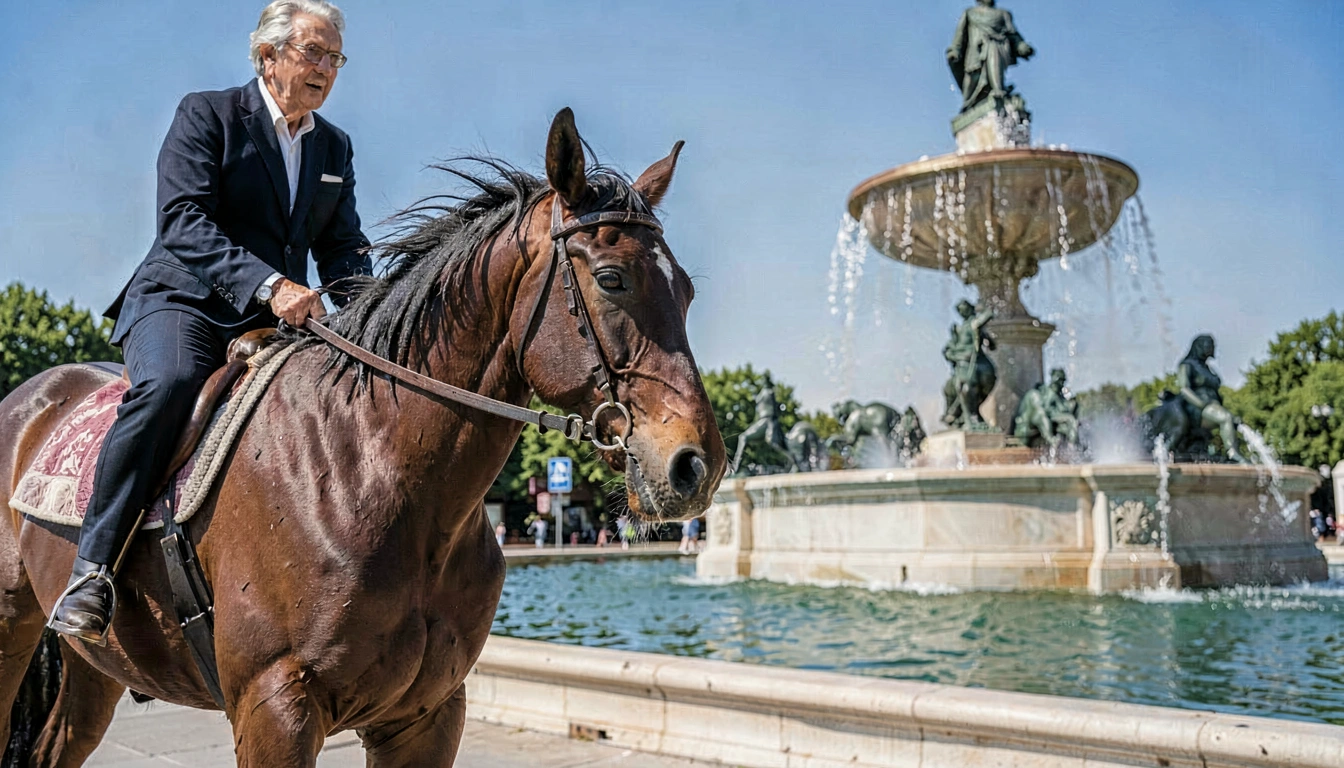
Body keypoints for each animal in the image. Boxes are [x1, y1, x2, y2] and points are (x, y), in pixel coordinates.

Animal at [0, 108, 726, 767]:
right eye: (610, 279)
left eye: (689, 292)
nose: (698, 466)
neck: (373, 472)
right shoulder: (275, 711)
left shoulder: (427, 716)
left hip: (97, 666)